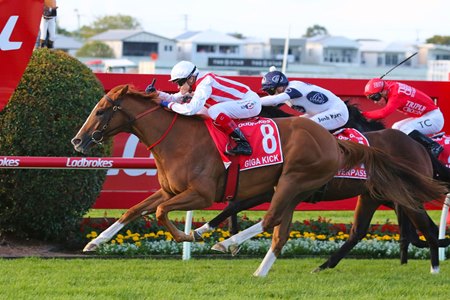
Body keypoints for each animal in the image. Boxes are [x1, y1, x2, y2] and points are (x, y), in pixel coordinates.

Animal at [70, 85, 446, 276]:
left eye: (101, 110)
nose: (77, 141)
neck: (179, 139)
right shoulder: (170, 190)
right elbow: (133, 210)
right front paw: (94, 243)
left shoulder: (202, 194)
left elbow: (163, 213)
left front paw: (190, 235)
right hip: (323, 189)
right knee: (290, 231)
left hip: (298, 181)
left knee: (271, 221)